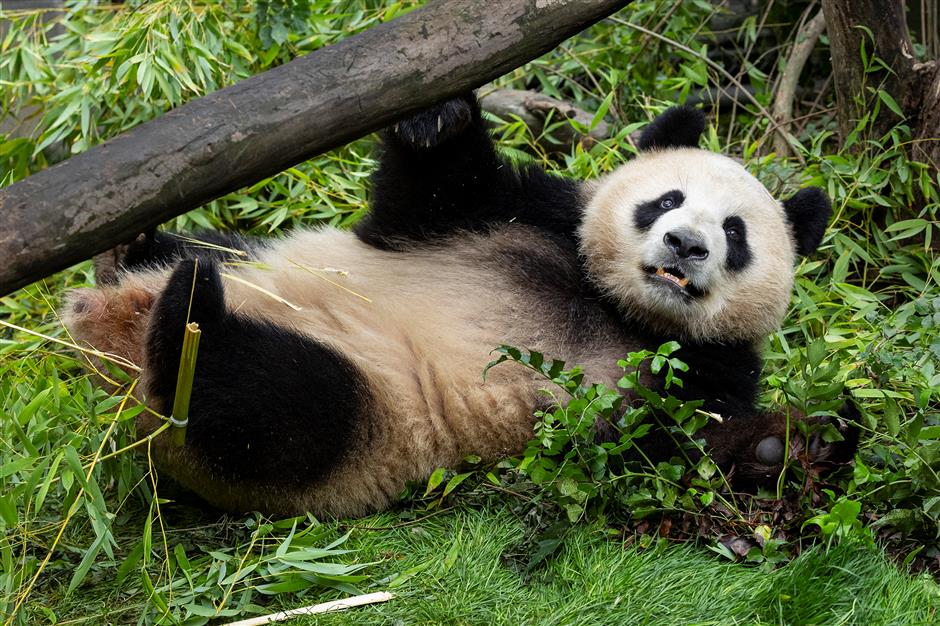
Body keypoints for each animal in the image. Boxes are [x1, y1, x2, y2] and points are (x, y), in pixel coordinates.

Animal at [60, 94, 852, 516]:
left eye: (735, 234)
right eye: (666, 200)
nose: (686, 245)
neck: (618, 307)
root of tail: (111, 340)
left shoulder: (702, 369)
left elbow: (660, 452)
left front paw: (788, 446)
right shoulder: (523, 216)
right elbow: (427, 198)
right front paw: (438, 117)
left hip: (367, 421)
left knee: (272, 404)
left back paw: (185, 324)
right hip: (253, 260)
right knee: (208, 262)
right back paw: (133, 254)